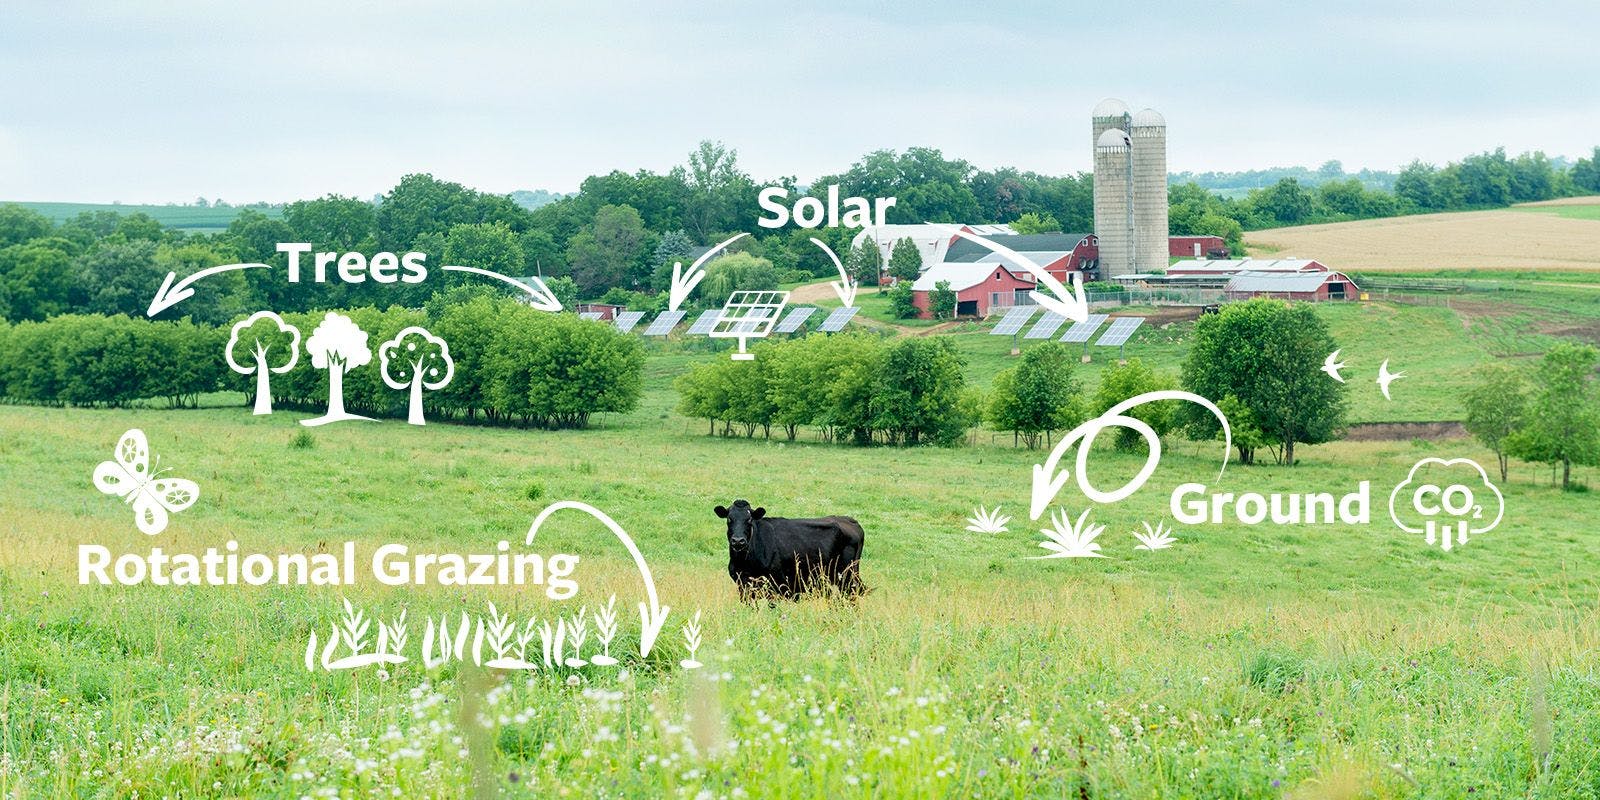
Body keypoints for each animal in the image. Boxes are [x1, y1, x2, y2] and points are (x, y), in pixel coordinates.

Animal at [716, 499, 864, 601]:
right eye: (729, 519)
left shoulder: (775, 585)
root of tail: (850, 520)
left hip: (847, 575)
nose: (738, 541)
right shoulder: (743, 585)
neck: (744, 561)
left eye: (749, 519)